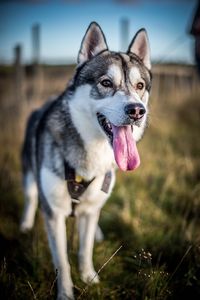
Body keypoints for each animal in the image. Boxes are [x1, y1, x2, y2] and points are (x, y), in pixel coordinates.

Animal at [20, 22, 152, 298]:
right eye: (106, 82)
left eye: (140, 86)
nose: (137, 111)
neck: (93, 152)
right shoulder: (54, 214)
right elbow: (62, 261)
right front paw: (66, 292)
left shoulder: (91, 211)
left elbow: (84, 248)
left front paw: (90, 278)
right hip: (28, 171)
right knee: (30, 196)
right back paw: (25, 225)